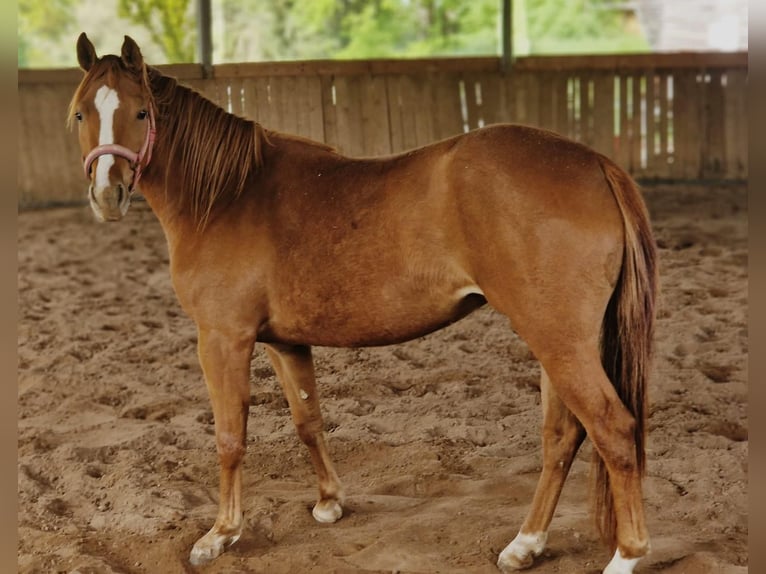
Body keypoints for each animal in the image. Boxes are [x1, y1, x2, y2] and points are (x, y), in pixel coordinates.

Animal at [68, 33, 657, 573]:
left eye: (141, 112)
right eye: (79, 114)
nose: (107, 194)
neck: (229, 195)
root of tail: (595, 164)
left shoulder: (223, 339)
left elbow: (230, 437)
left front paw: (220, 535)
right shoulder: (284, 342)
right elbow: (308, 419)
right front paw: (330, 503)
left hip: (557, 339)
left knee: (612, 430)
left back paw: (627, 555)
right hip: (555, 341)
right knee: (562, 437)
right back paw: (526, 544)